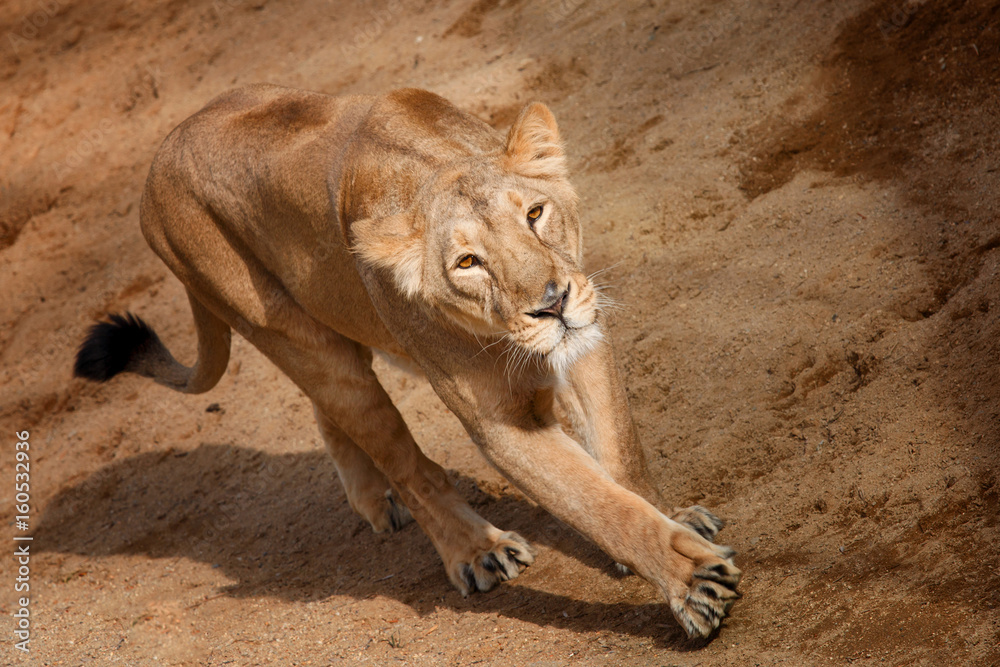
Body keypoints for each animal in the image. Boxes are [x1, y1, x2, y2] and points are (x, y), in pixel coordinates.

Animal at [73, 84, 740, 637]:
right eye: (467, 262)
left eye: (534, 214)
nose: (551, 305)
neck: (435, 163)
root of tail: (158, 159)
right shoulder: (502, 425)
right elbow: (601, 505)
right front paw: (692, 584)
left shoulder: (587, 337)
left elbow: (621, 451)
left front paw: (676, 519)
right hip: (297, 337)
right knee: (406, 464)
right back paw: (475, 550)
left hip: (325, 331)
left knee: (327, 412)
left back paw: (374, 500)